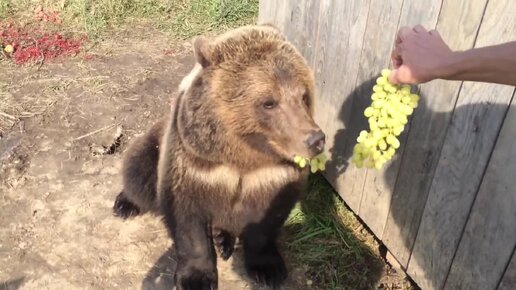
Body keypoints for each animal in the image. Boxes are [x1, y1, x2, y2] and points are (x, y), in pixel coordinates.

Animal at [114, 23, 326, 288]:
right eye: (269, 102)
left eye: (303, 96)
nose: (316, 140)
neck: (243, 156)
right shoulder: (194, 165)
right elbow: (188, 221)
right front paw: (196, 278)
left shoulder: (274, 175)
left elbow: (267, 219)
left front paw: (268, 269)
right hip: (153, 146)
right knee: (137, 170)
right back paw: (124, 203)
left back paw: (223, 238)